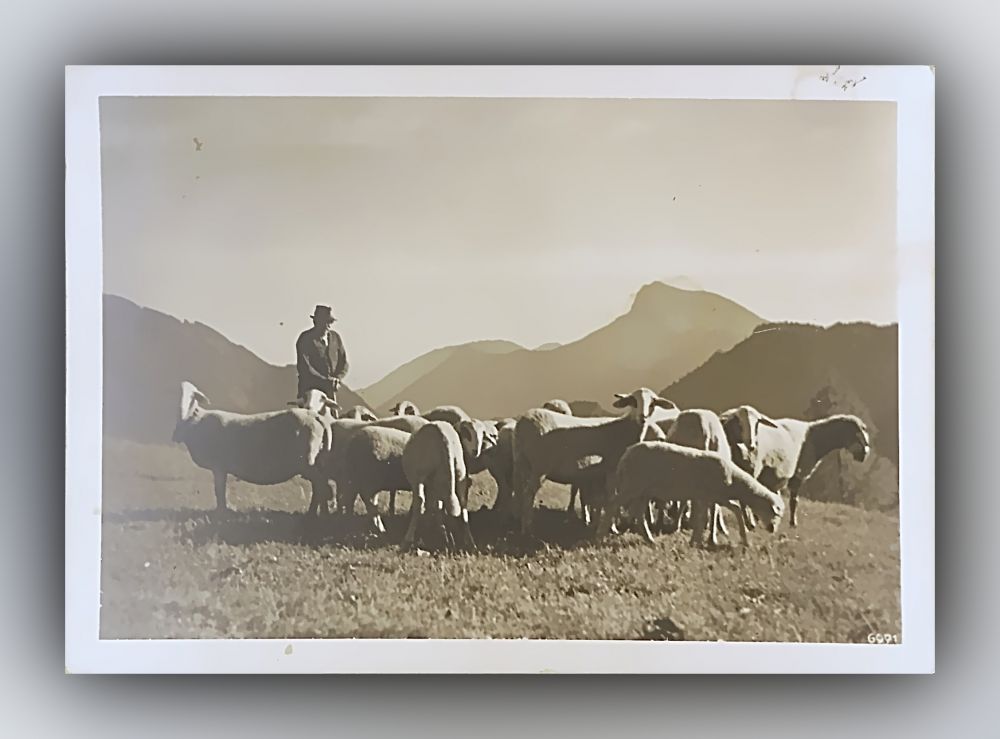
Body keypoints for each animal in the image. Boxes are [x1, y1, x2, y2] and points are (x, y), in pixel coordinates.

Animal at [170, 382, 330, 516]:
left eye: (193, 396)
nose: (181, 410)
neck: (197, 420)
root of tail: (315, 416)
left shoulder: (219, 466)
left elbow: (219, 490)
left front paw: (222, 512)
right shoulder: (221, 467)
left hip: (307, 460)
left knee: (321, 483)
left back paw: (316, 513)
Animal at [398, 420, 492, 552]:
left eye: (482, 434)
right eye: (467, 433)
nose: (476, 451)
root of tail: (443, 436)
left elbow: (432, 506)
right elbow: (439, 507)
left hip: (419, 476)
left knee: (420, 501)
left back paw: (408, 539)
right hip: (459, 474)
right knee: (462, 503)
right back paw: (468, 542)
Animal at [512, 388, 676, 536]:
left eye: (652, 403)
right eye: (633, 401)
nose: (643, 417)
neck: (624, 430)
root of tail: (523, 421)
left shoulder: (600, 476)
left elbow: (600, 500)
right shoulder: (611, 470)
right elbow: (610, 499)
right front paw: (612, 528)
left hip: (521, 463)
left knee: (520, 493)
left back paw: (518, 522)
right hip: (539, 467)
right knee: (528, 495)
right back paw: (527, 530)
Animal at [596, 440, 784, 548]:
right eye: (775, 513)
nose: (772, 529)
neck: (733, 479)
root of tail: (625, 455)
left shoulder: (713, 496)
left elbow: (725, 511)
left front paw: (697, 540)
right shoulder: (711, 495)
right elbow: (708, 516)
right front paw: (697, 541)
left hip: (643, 490)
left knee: (639, 513)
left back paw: (649, 540)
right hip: (632, 484)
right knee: (613, 504)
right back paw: (600, 536)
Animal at [720, 408, 868, 528]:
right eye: (855, 433)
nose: (865, 454)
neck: (814, 439)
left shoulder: (775, 478)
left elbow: (772, 497)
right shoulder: (798, 474)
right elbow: (793, 501)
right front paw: (792, 523)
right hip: (751, 466)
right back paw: (749, 524)